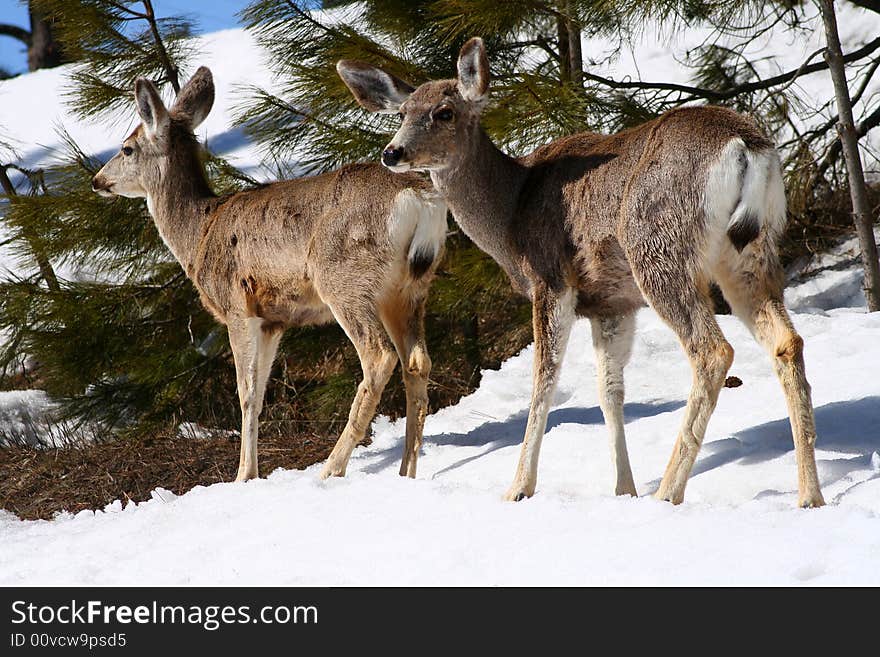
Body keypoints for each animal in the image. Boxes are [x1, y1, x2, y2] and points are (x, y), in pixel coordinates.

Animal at [92, 68, 446, 482]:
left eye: (127, 148)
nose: (97, 180)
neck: (199, 232)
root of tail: (420, 199)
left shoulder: (236, 306)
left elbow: (245, 393)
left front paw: (243, 475)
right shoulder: (273, 318)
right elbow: (260, 393)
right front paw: (252, 471)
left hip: (343, 278)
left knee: (379, 356)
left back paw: (330, 469)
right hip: (409, 288)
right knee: (417, 361)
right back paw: (406, 472)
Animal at [336, 37, 824, 508]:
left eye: (444, 111)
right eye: (402, 113)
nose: (392, 152)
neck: (511, 213)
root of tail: (745, 146)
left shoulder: (551, 279)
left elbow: (544, 380)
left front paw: (519, 487)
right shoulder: (612, 303)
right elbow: (609, 391)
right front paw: (623, 489)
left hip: (658, 247)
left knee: (712, 351)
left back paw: (668, 491)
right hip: (749, 254)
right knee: (787, 341)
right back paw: (809, 494)